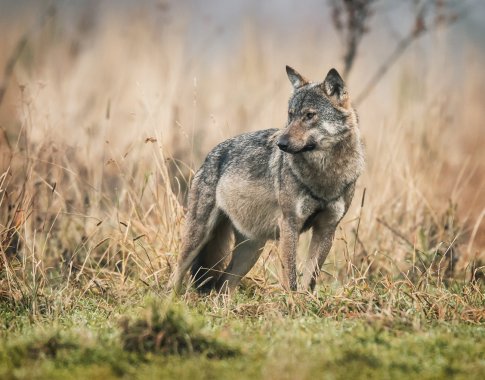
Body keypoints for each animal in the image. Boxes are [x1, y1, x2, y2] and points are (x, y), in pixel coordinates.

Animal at [169, 66, 364, 294]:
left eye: (309, 115)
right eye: (290, 115)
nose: (281, 143)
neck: (325, 174)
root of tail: (210, 155)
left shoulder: (327, 228)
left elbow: (310, 279)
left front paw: (305, 300)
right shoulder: (290, 224)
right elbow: (291, 279)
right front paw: (292, 301)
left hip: (251, 250)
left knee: (223, 285)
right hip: (199, 235)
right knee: (177, 275)